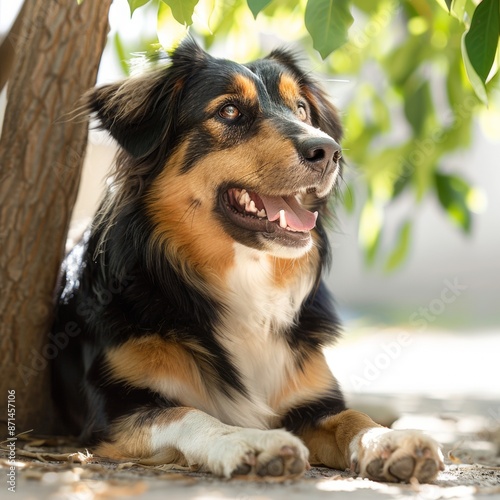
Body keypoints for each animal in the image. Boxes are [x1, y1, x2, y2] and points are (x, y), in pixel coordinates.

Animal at [50, 37, 442, 482]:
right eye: (229, 111)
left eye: (301, 109)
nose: (328, 151)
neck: (246, 279)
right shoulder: (116, 408)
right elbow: (189, 414)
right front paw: (250, 441)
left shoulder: (310, 398)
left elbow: (351, 417)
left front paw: (389, 441)